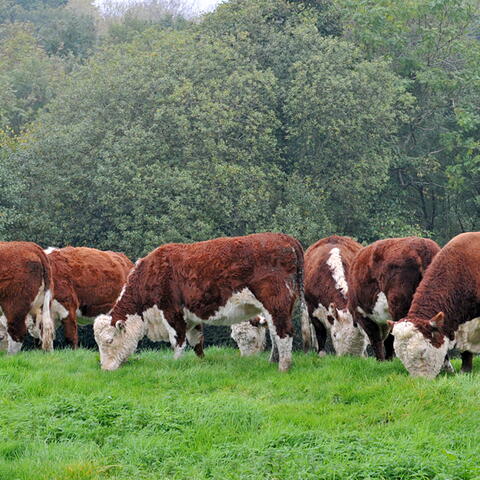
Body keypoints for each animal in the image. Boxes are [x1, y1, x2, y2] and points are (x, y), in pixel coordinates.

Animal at [94, 232, 306, 372]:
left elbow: (178, 341)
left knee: (284, 332)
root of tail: (285, 238)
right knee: (275, 332)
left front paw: (176, 364)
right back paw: (274, 362)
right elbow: (196, 341)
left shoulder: (172, 312)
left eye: (109, 340)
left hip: (276, 303)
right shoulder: (191, 317)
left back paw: (283, 367)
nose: (105, 368)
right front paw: (201, 362)